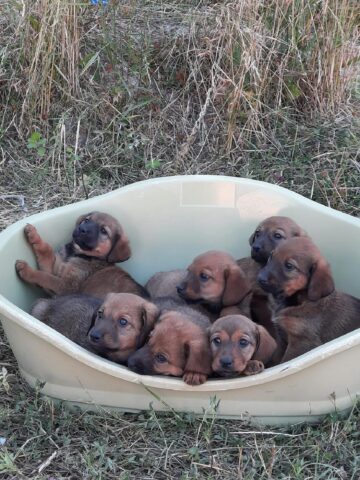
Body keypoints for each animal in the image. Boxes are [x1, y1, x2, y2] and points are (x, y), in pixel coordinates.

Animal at [15, 211, 148, 298]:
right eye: (87, 220)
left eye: (103, 231)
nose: (82, 229)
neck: (75, 254)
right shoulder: (55, 268)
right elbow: (46, 251)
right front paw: (33, 235)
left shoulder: (66, 287)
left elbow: (45, 277)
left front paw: (27, 270)